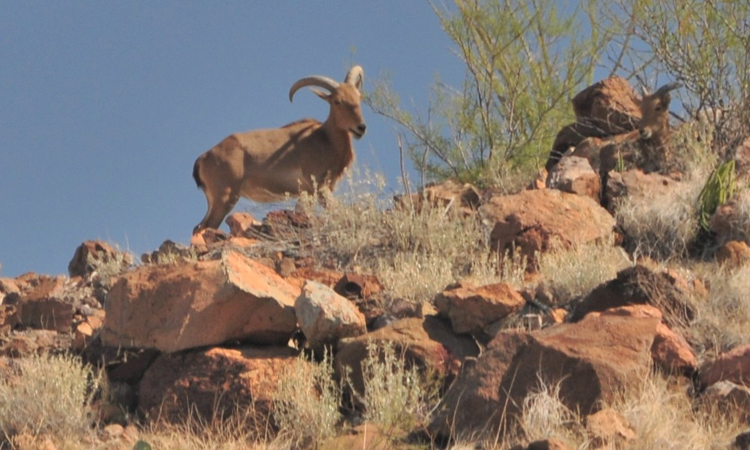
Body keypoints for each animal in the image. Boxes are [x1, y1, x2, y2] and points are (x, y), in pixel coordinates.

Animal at [192, 65, 366, 234]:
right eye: (337, 101)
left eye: (359, 98)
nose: (360, 127)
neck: (324, 138)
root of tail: (203, 158)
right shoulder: (318, 185)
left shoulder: (308, 192)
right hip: (224, 198)